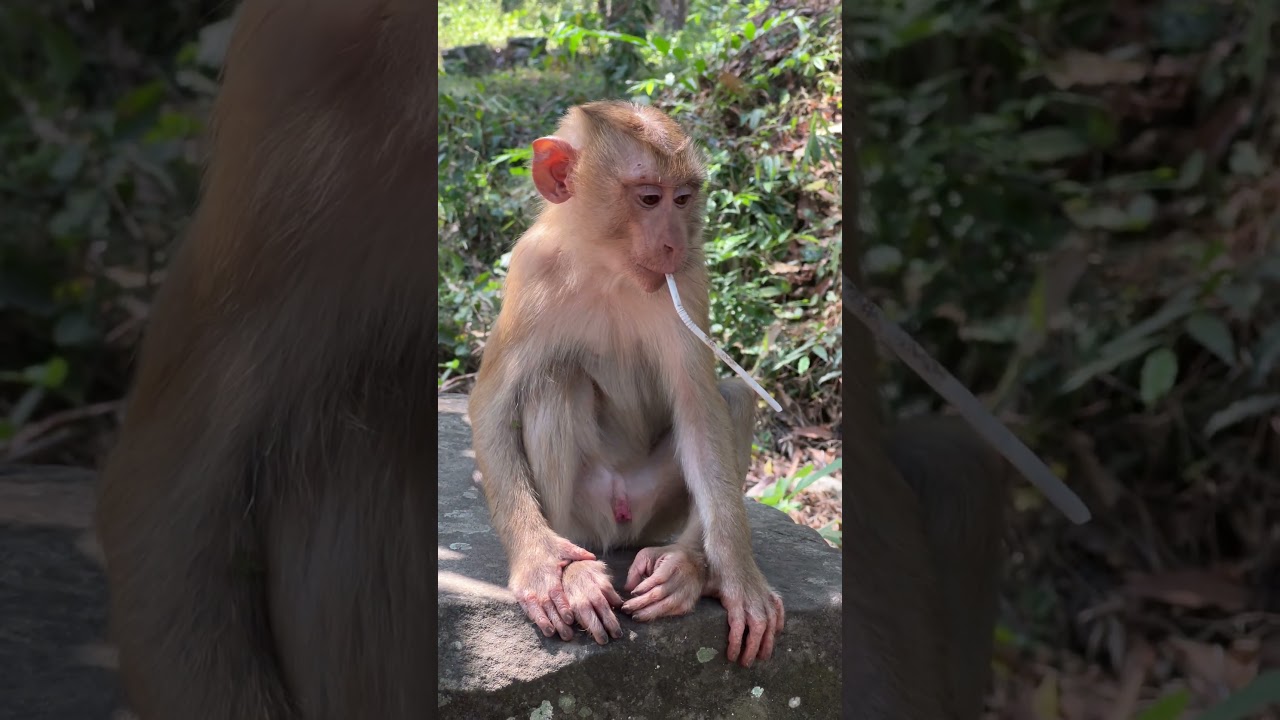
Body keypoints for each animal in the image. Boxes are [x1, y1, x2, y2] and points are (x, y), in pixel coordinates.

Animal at [468, 100, 786, 668]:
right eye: (649, 198)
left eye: (683, 198)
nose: (675, 241)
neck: (606, 266)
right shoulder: (529, 271)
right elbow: (490, 404)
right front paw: (542, 566)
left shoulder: (690, 276)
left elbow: (699, 407)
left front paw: (739, 580)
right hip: (584, 513)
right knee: (554, 382)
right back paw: (577, 573)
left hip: (653, 510)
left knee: (730, 397)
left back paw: (684, 567)